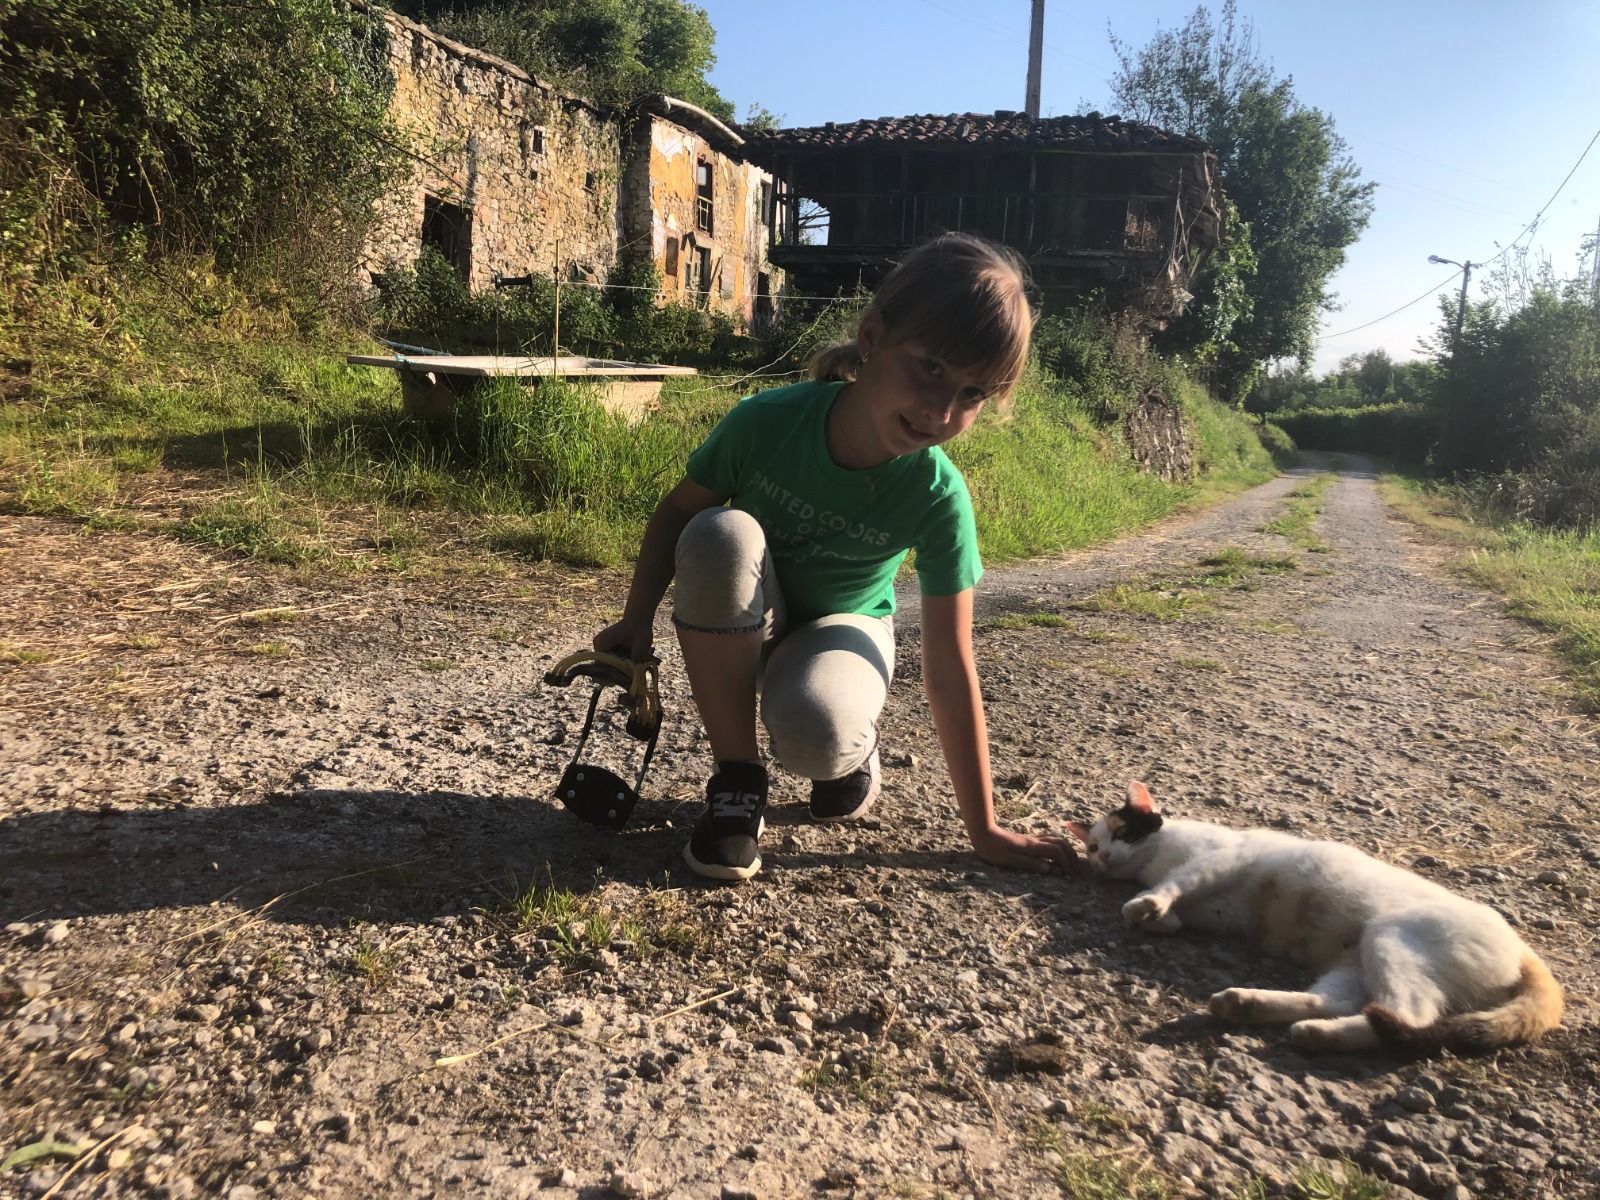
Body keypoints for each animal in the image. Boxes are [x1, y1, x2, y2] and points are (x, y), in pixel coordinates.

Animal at [1062, 784, 1561, 1056]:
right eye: (1092, 846)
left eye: (1122, 832)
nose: (1103, 857)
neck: (1152, 862)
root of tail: (1524, 950)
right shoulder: (1218, 909)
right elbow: (1178, 912)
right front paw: (1158, 919)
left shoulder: (1220, 860)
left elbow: (1177, 884)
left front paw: (1146, 905)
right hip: (1354, 967)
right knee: (1344, 1004)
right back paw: (1260, 1010)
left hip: (1391, 940)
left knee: (1409, 1018)